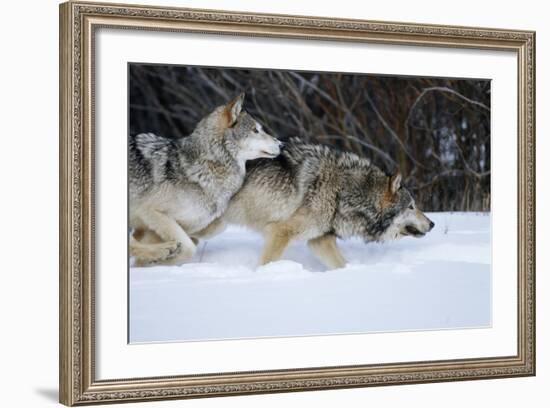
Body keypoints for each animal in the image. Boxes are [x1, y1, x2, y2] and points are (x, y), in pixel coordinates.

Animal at [129, 93, 282, 266]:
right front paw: (162, 262)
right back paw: (164, 250)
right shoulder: (150, 211)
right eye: (255, 130)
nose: (281, 144)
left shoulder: (154, 227)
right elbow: (189, 249)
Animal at [202, 137, 436, 270]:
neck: (343, 192)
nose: (433, 224)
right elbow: (266, 263)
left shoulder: (319, 240)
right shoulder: (280, 232)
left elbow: (341, 265)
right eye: (411, 206)